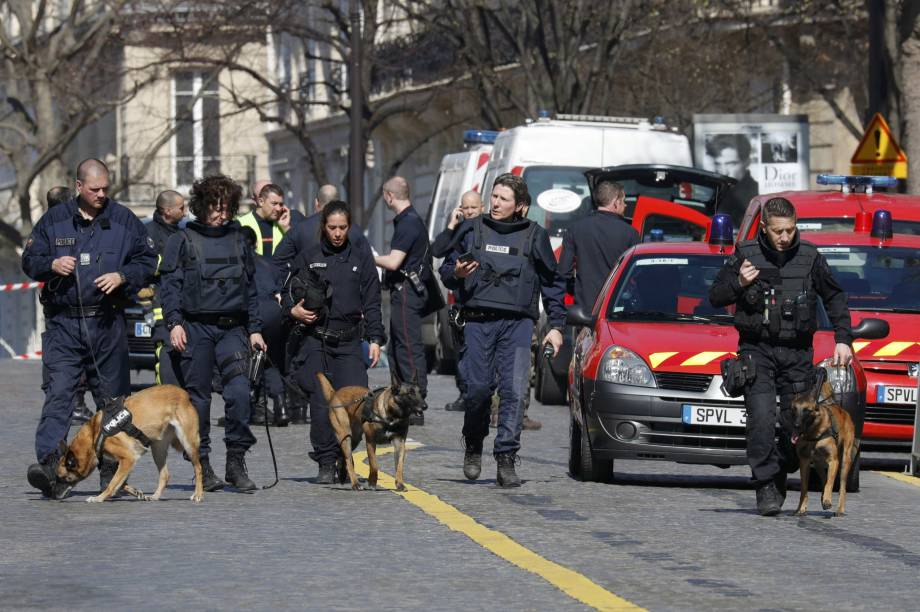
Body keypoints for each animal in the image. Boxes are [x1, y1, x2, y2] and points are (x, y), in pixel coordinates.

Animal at [55, 388, 205, 502]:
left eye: (63, 478)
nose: (54, 496)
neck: (94, 434)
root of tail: (183, 393)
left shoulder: (128, 458)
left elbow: (112, 483)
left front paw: (99, 498)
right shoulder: (122, 462)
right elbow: (119, 483)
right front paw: (135, 491)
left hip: (187, 443)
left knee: (198, 468)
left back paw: (198, 494)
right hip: (157, 449)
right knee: (165, 475)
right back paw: (155, 496)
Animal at [788, 368, 860, 516]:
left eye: (807, 411)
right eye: (794, 409)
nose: (796, 426)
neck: (814, 435)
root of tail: (840, 408)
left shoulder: (834, 461)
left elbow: (830, 484)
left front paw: (827, 500)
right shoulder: (804, 462)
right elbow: (804, 488)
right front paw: (801, 508)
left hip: (844, 462)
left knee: (841, 487)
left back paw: (839, 508)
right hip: (818, 465)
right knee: (823, 478)